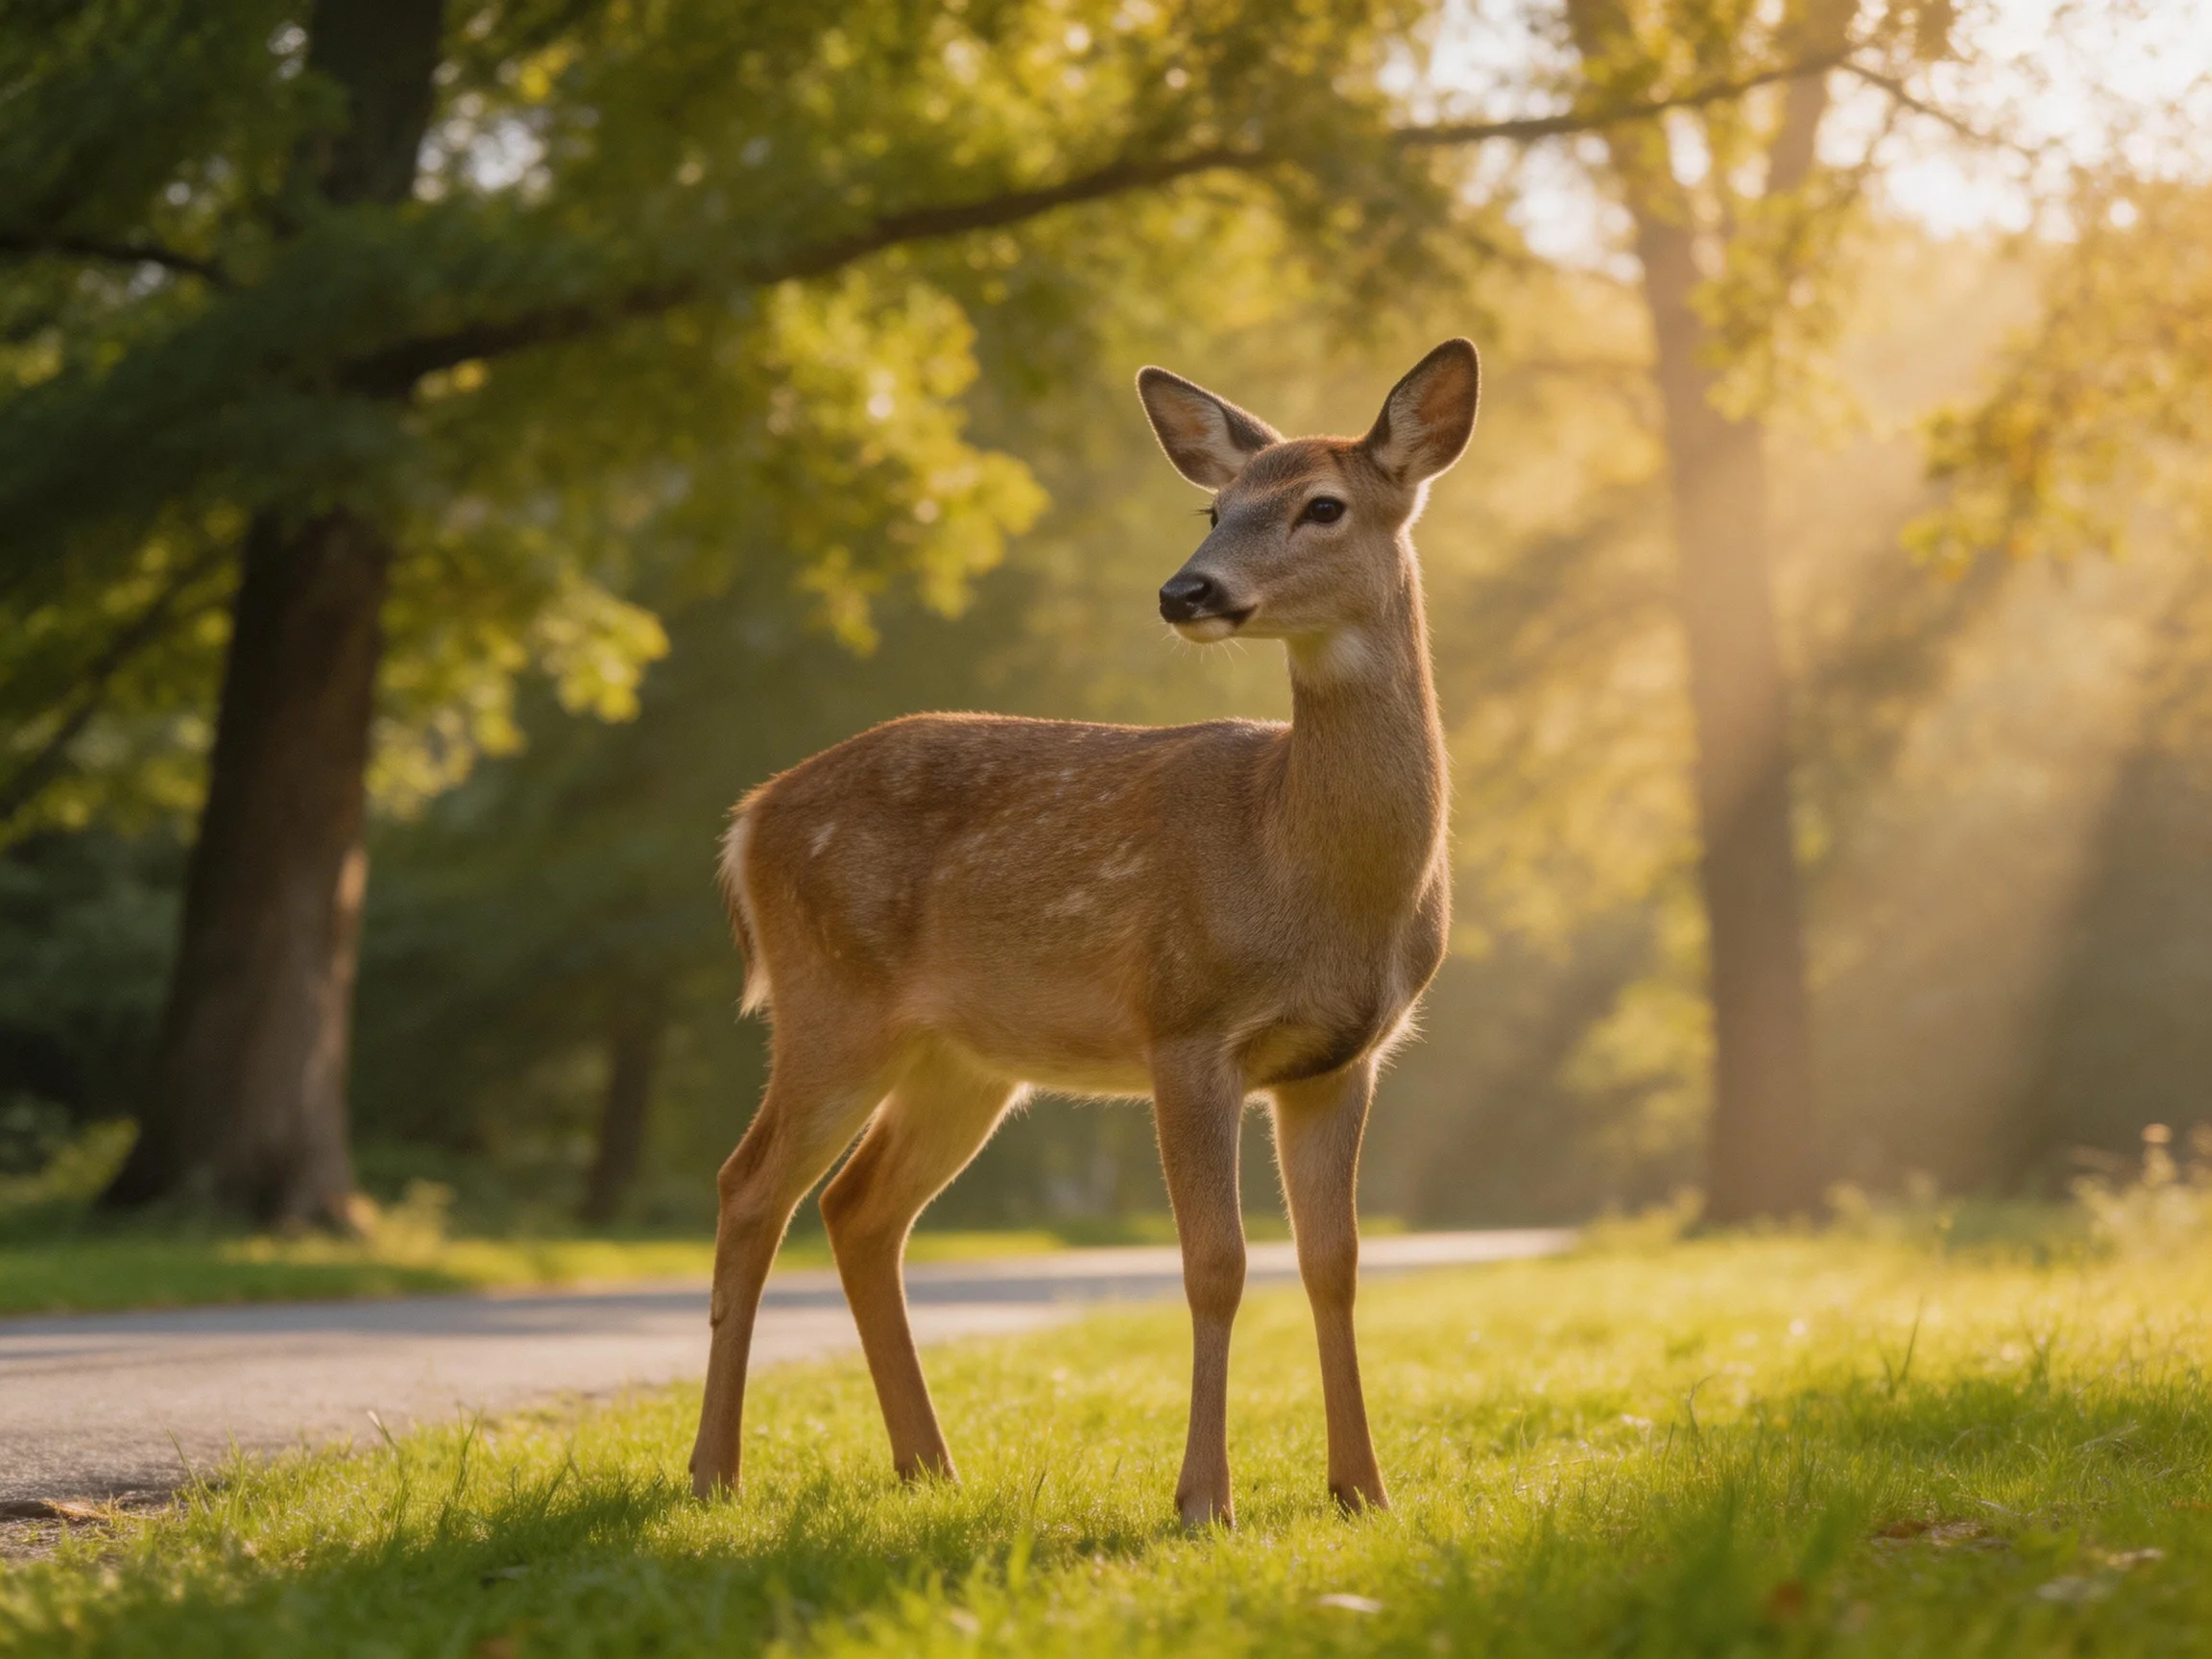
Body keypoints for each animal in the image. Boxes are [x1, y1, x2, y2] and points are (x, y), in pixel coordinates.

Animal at [689, 339, 1479, 1526]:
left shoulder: (1343, 1058)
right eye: (1214, 508)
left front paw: (1362, 1490)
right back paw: (714, 1473)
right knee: (750, 1189)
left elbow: (1333, 1263)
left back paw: (929, 1464)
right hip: (831, 999)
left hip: (963, 1060)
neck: (1297, 859)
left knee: (859, 1207)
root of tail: (748, 820)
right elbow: (1216, 1263)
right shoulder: (1186, 1025)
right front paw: (1204, 1501)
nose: (1185, 590)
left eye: (1323, 506)